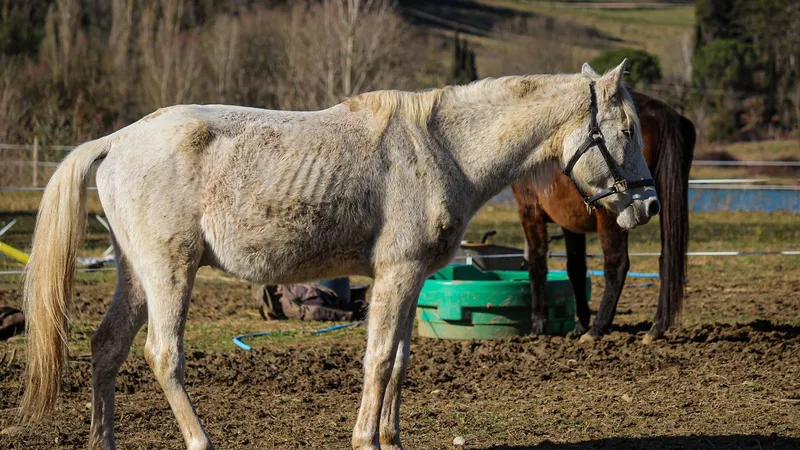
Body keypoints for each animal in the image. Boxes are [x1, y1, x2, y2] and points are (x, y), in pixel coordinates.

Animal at [20, 60, 658, 450]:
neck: (442, 147)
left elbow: (399, 360)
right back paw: (200, 439)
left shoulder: (410, 279)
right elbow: (376, 360)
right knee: (163, 355)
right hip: (168, 273)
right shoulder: (396, 275)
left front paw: (393, 436)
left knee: (106, 349)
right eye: (626, 130)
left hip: (135, 276)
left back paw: (103, 438)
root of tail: (117, 140)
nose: (648, 203)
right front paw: (366, 438)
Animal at [513, 80, 696, 345]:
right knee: (667, 261)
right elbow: (576, 268)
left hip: (614, 216)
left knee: (617, 265)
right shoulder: (570, 224)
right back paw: (656, 327)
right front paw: (579, 323)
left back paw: (598, 328)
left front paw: (538, 325)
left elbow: (537, 263)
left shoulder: (530, 212)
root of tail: (664, 113)